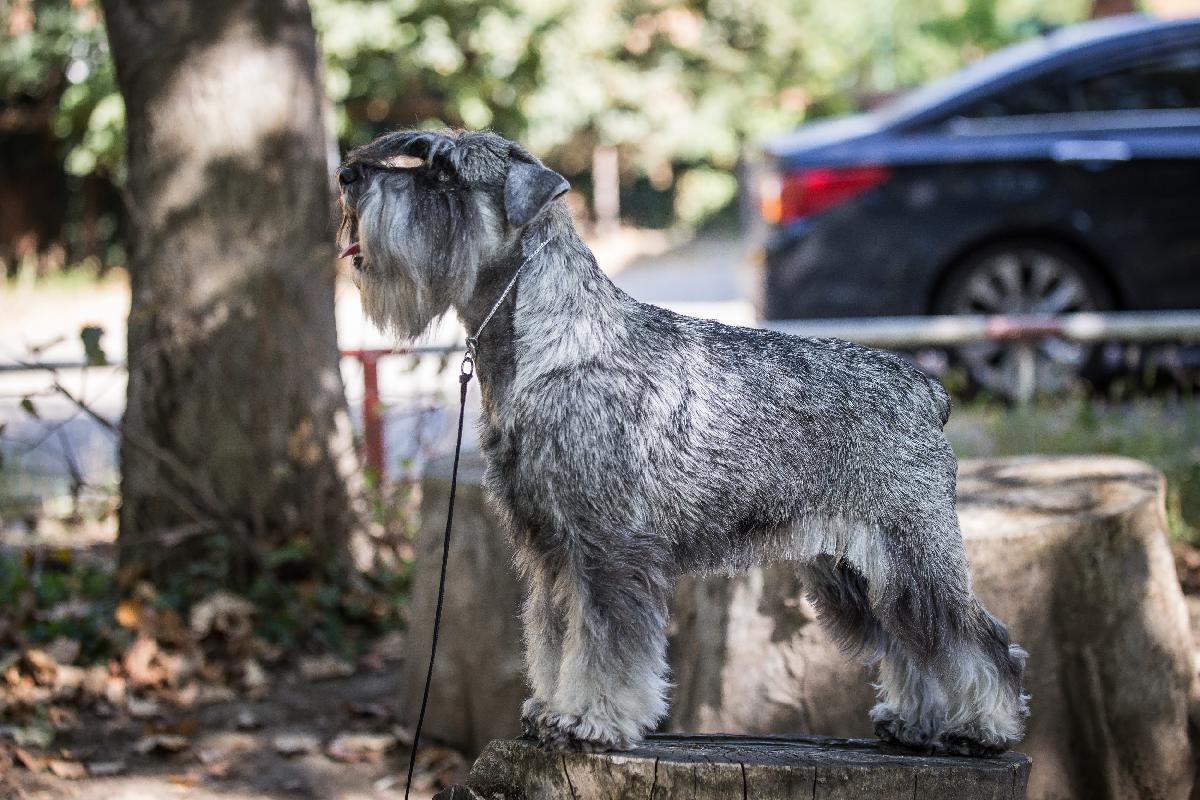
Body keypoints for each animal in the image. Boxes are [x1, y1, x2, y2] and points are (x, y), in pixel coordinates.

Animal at [335, 129, 1028, 756]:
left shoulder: (608, 546)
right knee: (910, 642)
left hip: (912, 555)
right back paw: (918, 723)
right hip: (853, 571)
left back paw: (981, 727)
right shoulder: (552, 549)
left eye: (443, 173)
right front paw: (552, 710)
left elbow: (605, 642)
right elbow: (556, 635)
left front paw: (593, 721)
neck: (555, 345)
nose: (347, 175)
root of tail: (926, 390)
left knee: (974, 640)